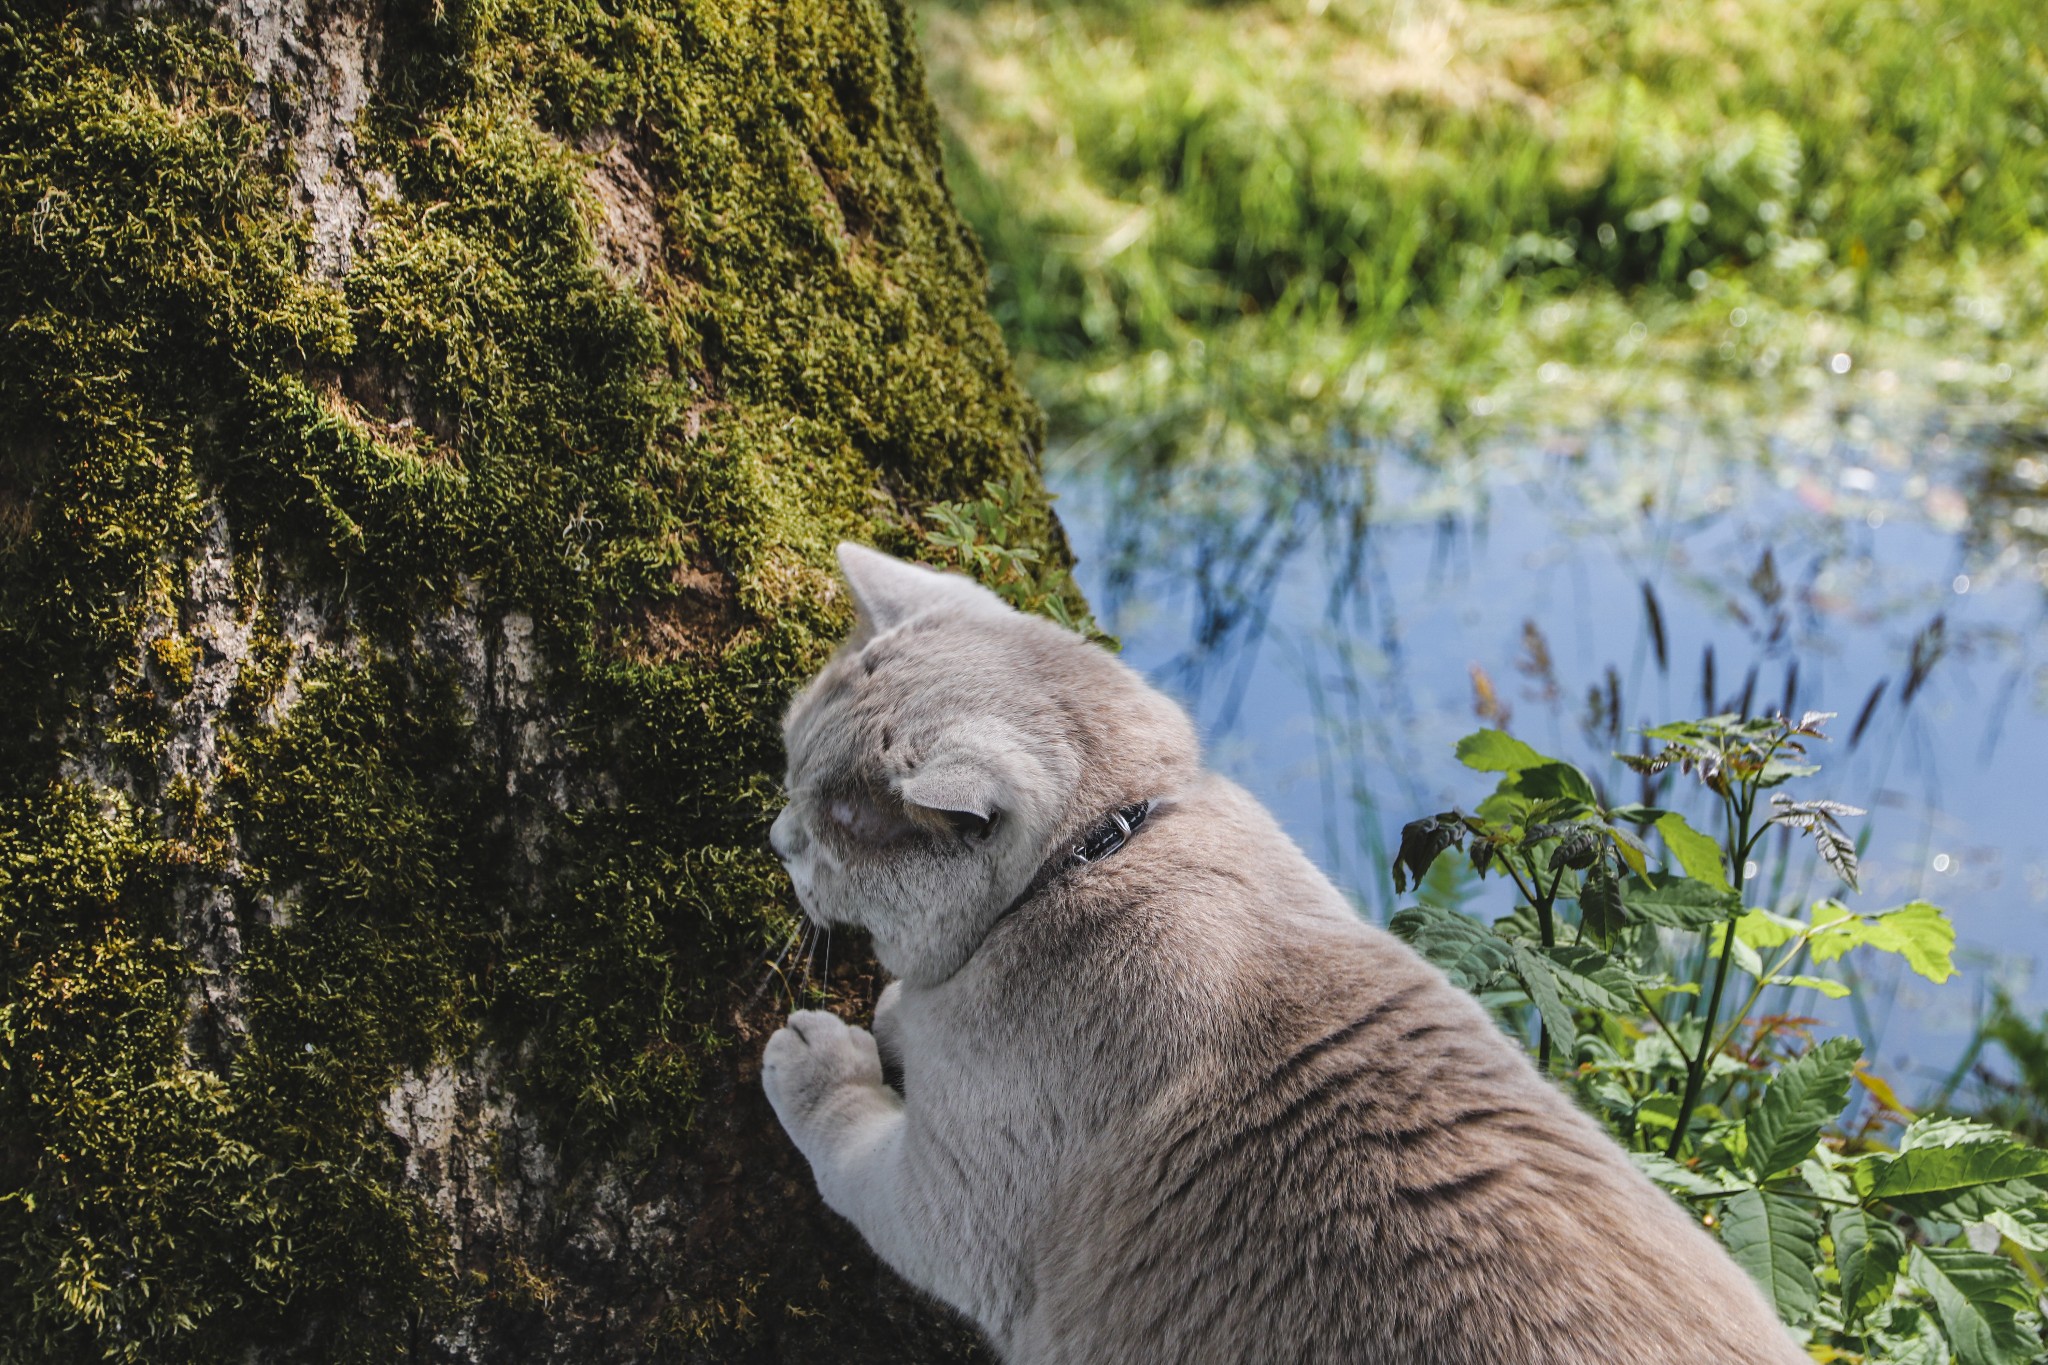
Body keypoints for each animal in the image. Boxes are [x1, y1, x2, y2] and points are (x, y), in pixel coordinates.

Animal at [761, 544, 1802, 1365]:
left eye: (831, 825)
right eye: (789, 769)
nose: (776, 837)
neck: (1101, 848)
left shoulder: (951, 1204)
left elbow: (850, 1136)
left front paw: (823, 1052)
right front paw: (898, 1013)